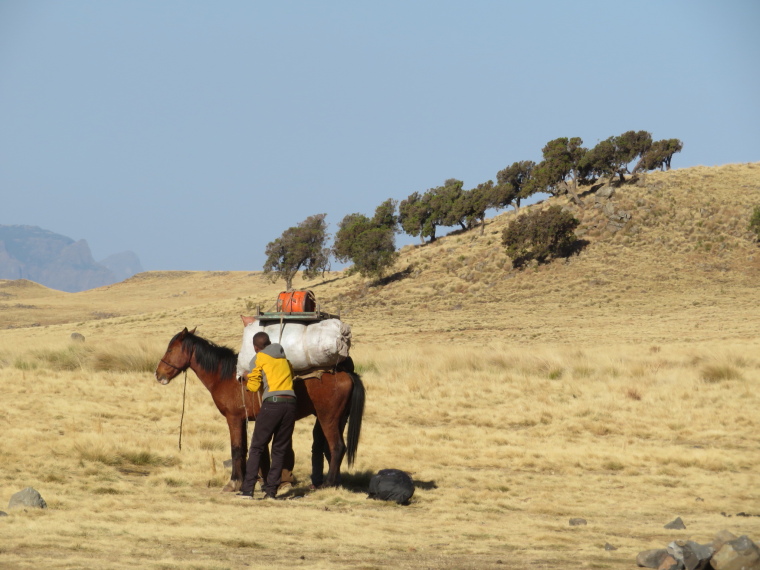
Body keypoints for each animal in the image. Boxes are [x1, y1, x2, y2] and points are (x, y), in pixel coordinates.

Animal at [154, 326, 362, 490]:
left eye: (170, 349)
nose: (158, 374)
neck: (225, 376)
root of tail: (347, 373)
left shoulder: (234, 419)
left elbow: (237, 449)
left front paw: (234, 482)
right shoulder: (245, 420)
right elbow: (246, 449)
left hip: (328, 418)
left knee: (337, 447)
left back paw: (328, 483)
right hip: (338, 419)